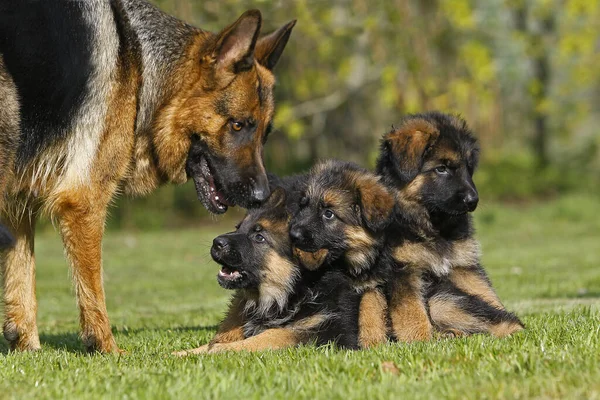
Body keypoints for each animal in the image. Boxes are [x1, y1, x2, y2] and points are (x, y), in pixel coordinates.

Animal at [0, 0, 296, 352]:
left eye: (265, 133)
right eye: (237, 125)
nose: (262, 197)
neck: (138, 59)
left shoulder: (19, 198)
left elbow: (22, 275)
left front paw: (27, 347)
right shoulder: (83, 200)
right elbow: (93, 289)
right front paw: (107, 349)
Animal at [288, 159, 396, 346]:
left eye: (328, 214)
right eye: (303, 206)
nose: (293, 234)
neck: (348, 265)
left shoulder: (375, 281)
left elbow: (372, 301)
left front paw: (372, 337)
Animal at [378, 111, 524, 338]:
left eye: (468, 168)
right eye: (441, 169)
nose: (473, 201)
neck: (433, 226)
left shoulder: (463, 265)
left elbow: (488, 294)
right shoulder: (403, 270)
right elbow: (411, 311)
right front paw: (420, 340)